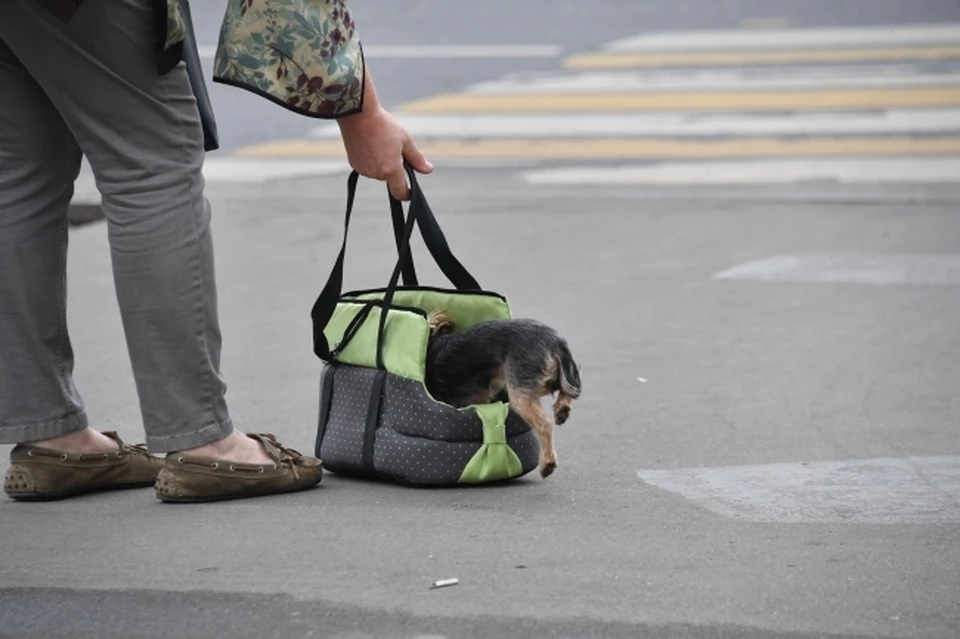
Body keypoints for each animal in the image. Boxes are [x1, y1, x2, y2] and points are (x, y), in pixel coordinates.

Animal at [424, 310, 580, 480]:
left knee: (544, 423)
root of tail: (555, 341)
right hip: (540, 379)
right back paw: (562, 409)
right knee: (566, 387)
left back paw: (547, 463)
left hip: (519, 388)